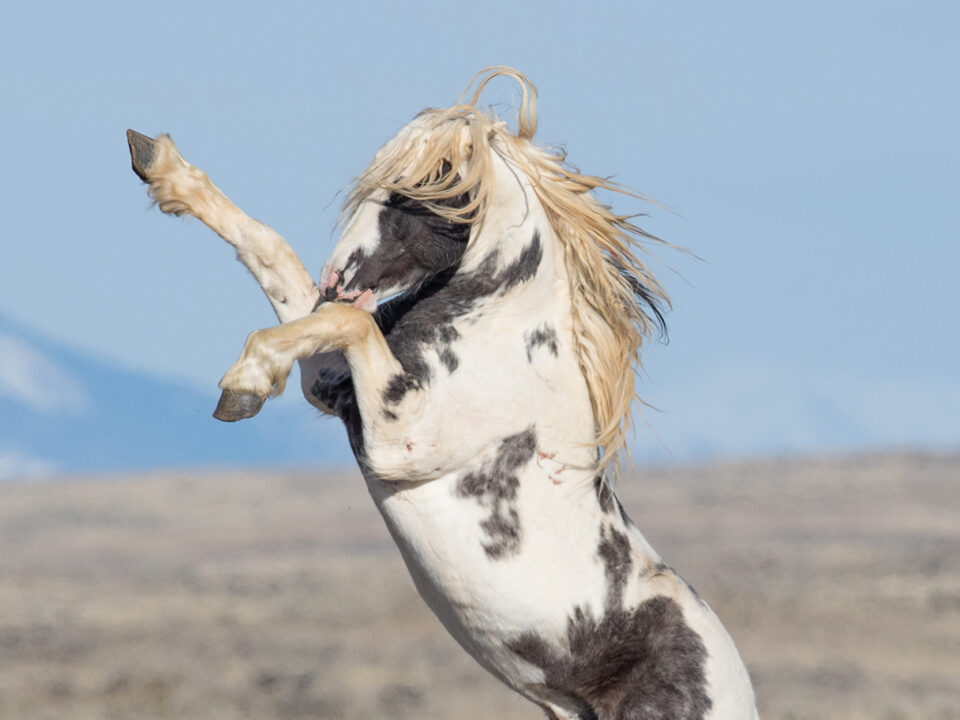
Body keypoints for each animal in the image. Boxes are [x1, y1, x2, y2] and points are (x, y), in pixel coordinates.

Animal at [125, 69, 756, 720]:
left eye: (415, 194)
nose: (336, 278)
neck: (503, 337)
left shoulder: (400, 439)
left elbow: (344, 320)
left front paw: (242, 383)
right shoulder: (329, 383)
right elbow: (275, 257)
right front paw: (162, 169)